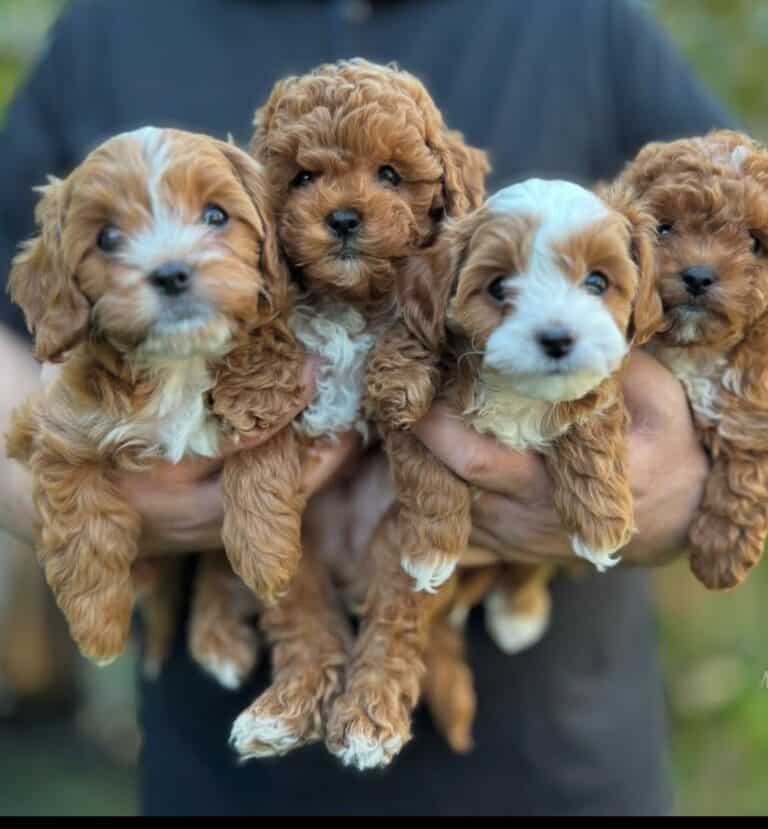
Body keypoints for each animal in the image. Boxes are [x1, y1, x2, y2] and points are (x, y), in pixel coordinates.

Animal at [616, 129, 768, 588]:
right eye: (664, 228)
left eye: (755, 242)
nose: (699, 276)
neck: (694, 349)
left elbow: (747, 453)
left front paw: (720, 552)